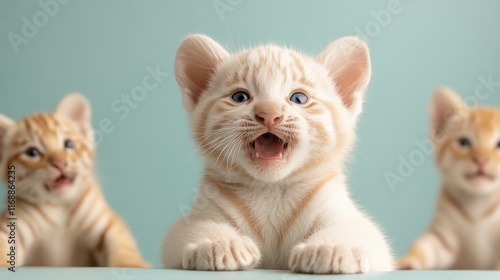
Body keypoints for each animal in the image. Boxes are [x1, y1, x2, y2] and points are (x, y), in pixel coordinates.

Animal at [0, 93, 149, 266]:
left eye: (69, 144)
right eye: (32, 152)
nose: (60, 163)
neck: (58, 209)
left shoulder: (107, 223)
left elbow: (122, 243)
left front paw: (131, 264)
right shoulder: (11, 226)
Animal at [162, 35, 392, 274]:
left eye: (299, 98)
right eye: (240, 97)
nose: (269, 114)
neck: (270, 188)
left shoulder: (344, 214)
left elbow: (353, 230)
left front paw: (330, 248)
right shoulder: (193, 219)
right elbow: (199, 228)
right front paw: (221, 245)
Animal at [398, 87, 500, 270]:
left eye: (499, 144)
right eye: (464, 142)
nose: (481, 159)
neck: (478, 208)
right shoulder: (443, 237)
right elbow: (424, 247)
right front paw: (408, 259)